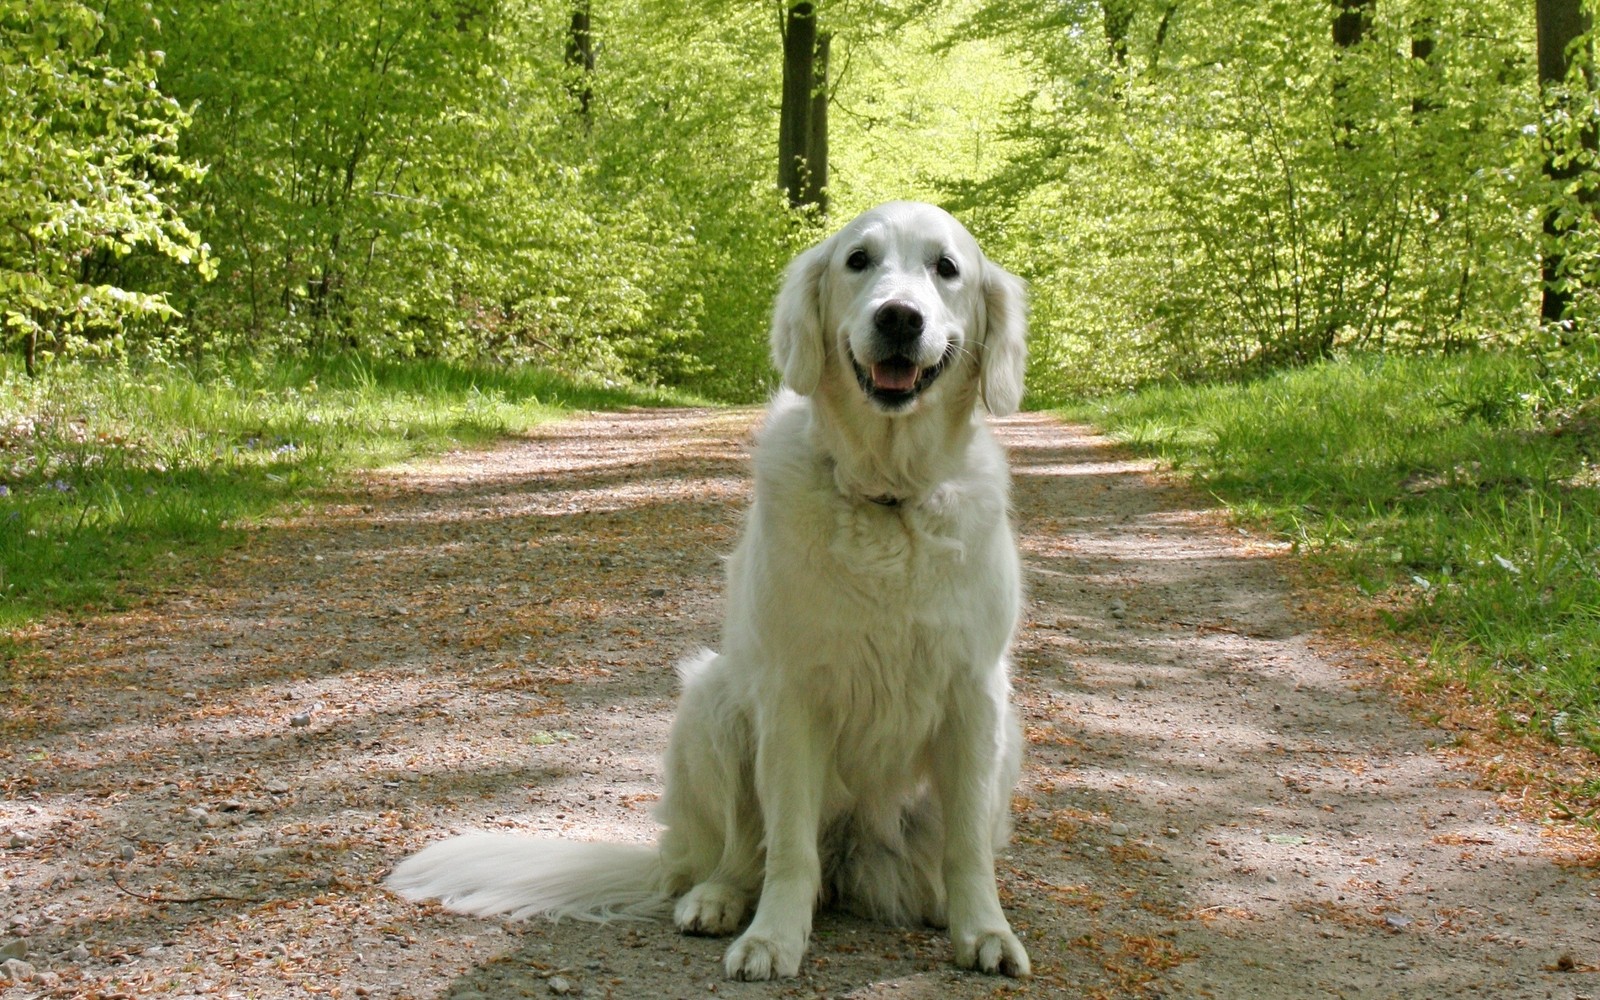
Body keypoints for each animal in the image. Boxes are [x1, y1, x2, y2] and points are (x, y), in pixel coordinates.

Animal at [393, 199, 1030, 979]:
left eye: (947, 268)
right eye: (859, 261)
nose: (900, 318)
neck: (887, 498)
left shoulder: (974, 693)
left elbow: (968, 846)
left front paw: (984, 930)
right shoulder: (791, 696)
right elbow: (787, 847)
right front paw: (773, 938)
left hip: (1004, 738)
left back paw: (934, 900)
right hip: (713, 702)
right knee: (738, 852)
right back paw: (719, 901)